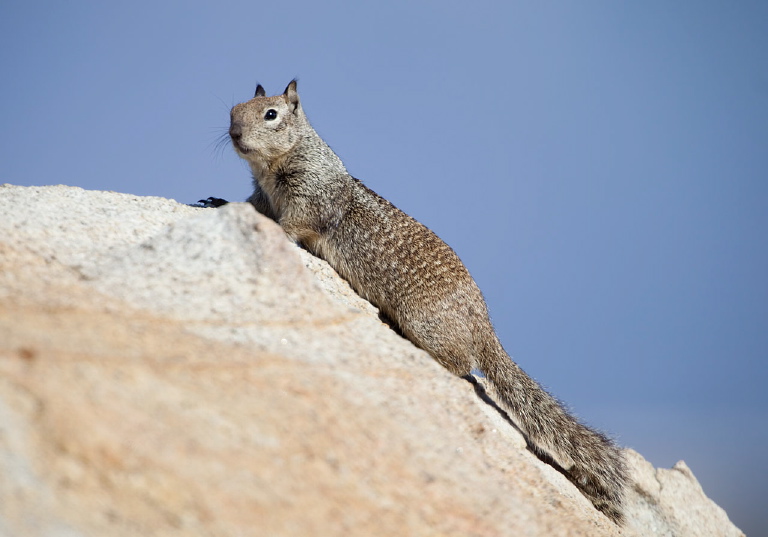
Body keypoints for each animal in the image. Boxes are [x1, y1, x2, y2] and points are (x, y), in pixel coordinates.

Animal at [201, 80, 628, 524]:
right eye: (233, 110)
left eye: (271, 114)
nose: (234, 133)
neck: (275, 166)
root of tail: (484, 325)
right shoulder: (262, 197)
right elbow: (250, 208)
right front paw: (219, 204)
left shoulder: (309, 201)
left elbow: (291, 225)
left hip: (426, 323)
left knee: (462, 366)